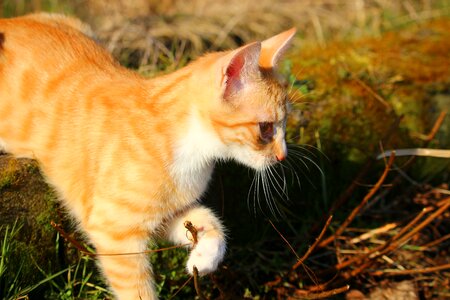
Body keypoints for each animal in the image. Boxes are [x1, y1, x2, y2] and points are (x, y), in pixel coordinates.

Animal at [0, 12, 296, 298]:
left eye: (284, 124)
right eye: (266, 128)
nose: (283, 156)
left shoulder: (168, 214)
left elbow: (210, 222)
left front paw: (203, 258)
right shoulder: (115, 233)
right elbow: (138, 292)